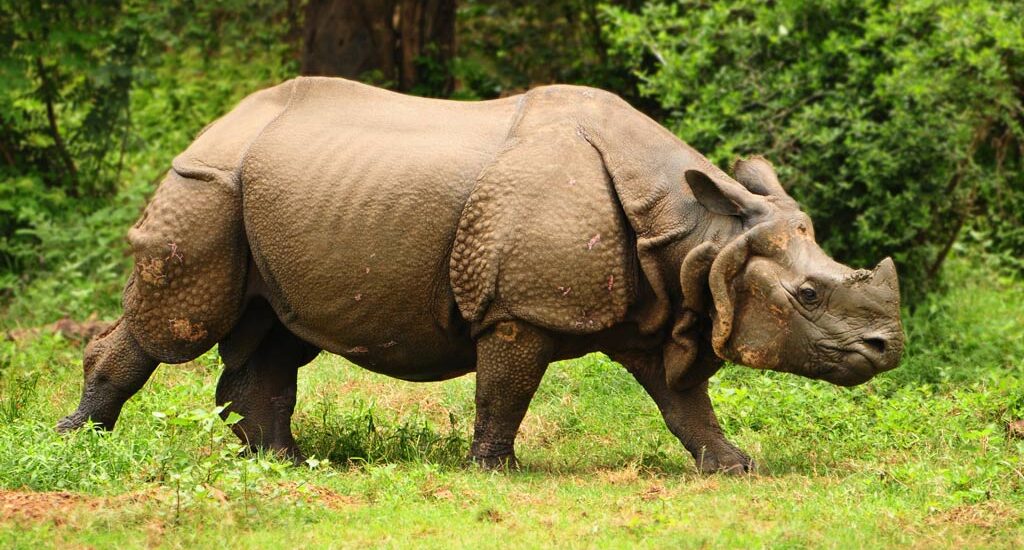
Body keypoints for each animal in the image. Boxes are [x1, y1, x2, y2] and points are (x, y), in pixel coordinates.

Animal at [58, 77, 903, 473]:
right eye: (809, 294)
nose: (888, 348)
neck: (698, 234)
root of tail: (218, 124)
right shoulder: (520, 307)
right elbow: (506, 390)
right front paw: (496, 470)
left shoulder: (658, 308)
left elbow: (684, 403)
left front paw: (736, 467)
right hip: (207, 184)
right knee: (176, 324)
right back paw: (80, 443)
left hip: (269, 194)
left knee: (274, 332)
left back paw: (283, 463)